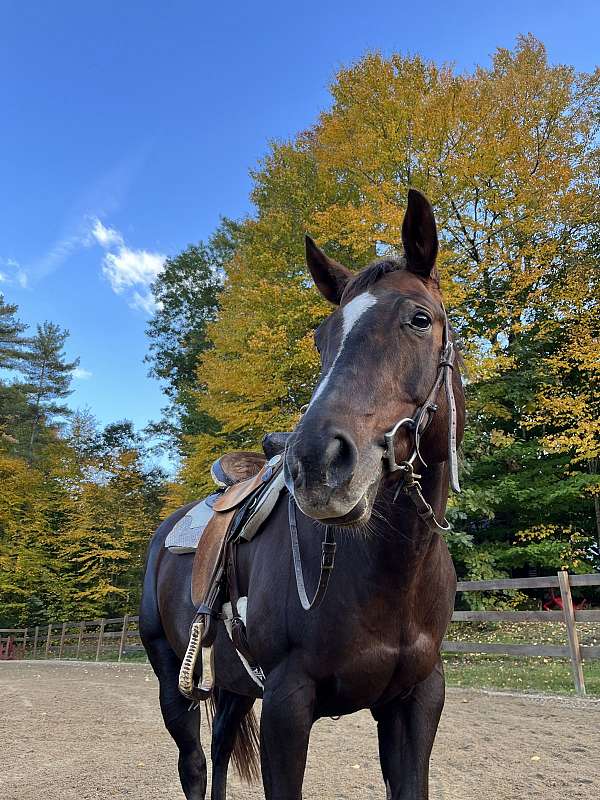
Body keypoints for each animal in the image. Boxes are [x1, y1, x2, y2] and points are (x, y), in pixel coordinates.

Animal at [140, 188, 465, 800]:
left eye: (420, 319)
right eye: (321, 339)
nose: (315, 462)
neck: (392, 574)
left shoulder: (415, 702)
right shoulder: (287, 704)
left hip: (233, 688)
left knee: (220, 751)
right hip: (173, 674)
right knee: (194, 764)